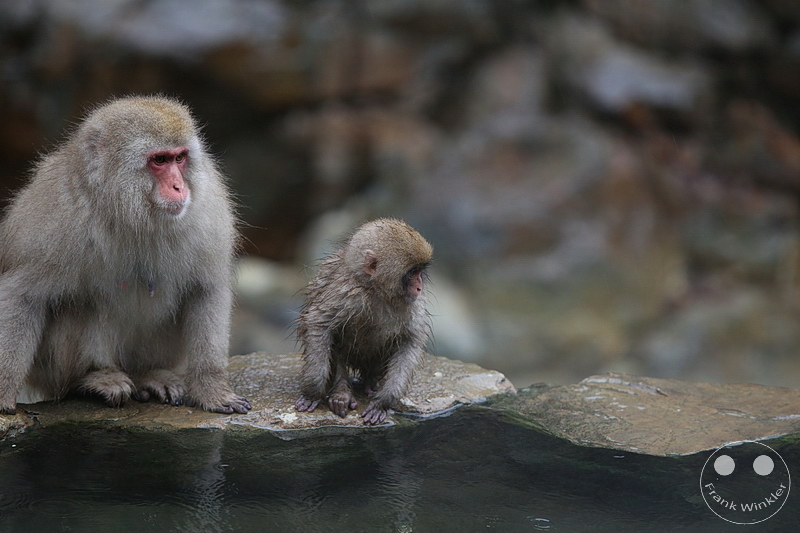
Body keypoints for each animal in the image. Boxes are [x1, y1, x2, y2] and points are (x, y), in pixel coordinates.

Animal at [0, 96, 251, 415]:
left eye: (180, 158)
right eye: (159, 160)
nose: (179, 186)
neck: (130, 213)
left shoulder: (207, 212)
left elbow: (206, 289)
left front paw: (212, 388)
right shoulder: (53, 221)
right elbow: (23, 296)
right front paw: (2, 394)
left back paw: (147, 375)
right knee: (78, 307)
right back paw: (91, 378)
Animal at [295, 218, 433, 425]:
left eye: (419, 271)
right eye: (412, 272)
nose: (419, 287)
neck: (378, 292)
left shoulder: (412, 306)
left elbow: (410, 341)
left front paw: (383, 402)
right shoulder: (347, 293)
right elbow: (319, 323)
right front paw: (313, 392)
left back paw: (371, 382)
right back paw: (341, 393)